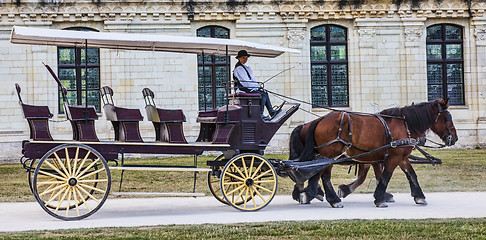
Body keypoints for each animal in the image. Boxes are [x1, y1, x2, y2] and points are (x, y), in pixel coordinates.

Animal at [290, 98, 458, 207]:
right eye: (447, 118)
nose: (454, 138)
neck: (404, 124)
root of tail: (320, 120)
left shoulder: (400, 157)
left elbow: (411, 175)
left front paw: (419, 196)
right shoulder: (393, 156)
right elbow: (385, 176)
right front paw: (380, 198)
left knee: (318, 174)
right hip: (330, 154)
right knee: (323, 175)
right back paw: (326, 197)